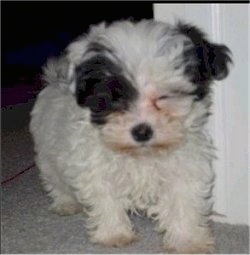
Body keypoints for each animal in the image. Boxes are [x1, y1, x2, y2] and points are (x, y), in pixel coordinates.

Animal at [30, 19, 231, 253]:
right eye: (115, 99)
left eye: (164, 96)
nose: (142, 131)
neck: (141, 155)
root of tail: (54, 81)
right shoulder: (95, 167)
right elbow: (106, 199)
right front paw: (114, 234)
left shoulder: (184, 167)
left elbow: (183, 201)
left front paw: (187, 240)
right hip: (47, 152)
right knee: (55, 179)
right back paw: (65, 203)